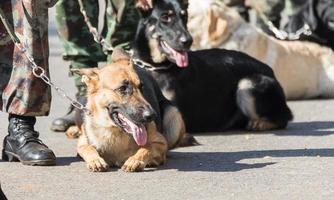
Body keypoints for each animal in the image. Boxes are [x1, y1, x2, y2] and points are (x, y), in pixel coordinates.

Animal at [132, 0, 294, 134]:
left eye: (185, 17)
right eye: (165, 17)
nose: (188, 41)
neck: (155, 66)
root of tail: (270, 71)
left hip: (247, 84)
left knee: (283, 118)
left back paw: (260, 123)